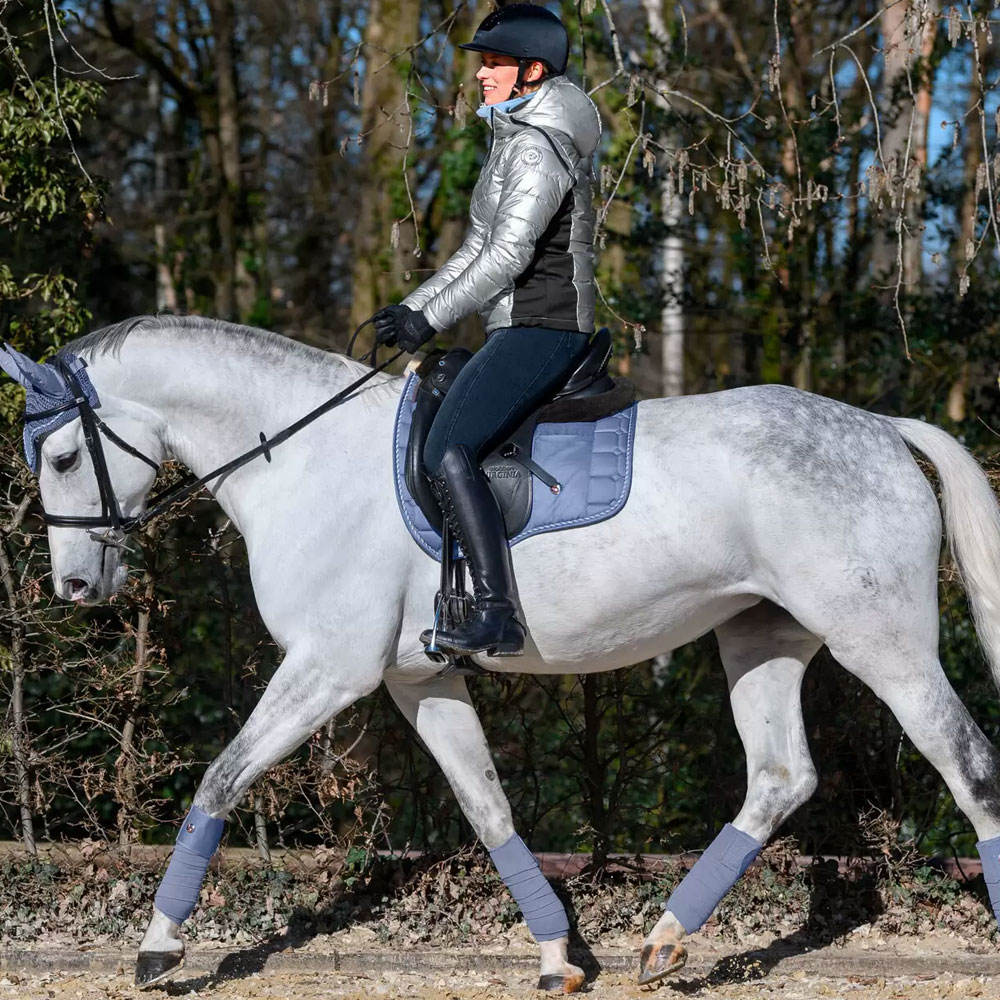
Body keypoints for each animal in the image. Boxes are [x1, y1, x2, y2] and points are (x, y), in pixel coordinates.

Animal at [9, 314, 1000, 991]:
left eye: (60, 459)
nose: (74, 589)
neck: (298, 457)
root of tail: (882, 427)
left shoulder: (329, 668)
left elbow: (220, 779)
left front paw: (157, 946)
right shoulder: (418, 679)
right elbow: (486, 809)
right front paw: (558, 954)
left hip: (883, 642)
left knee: (970, 767)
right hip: (761, 635)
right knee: (782, 777)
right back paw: (663, 940)